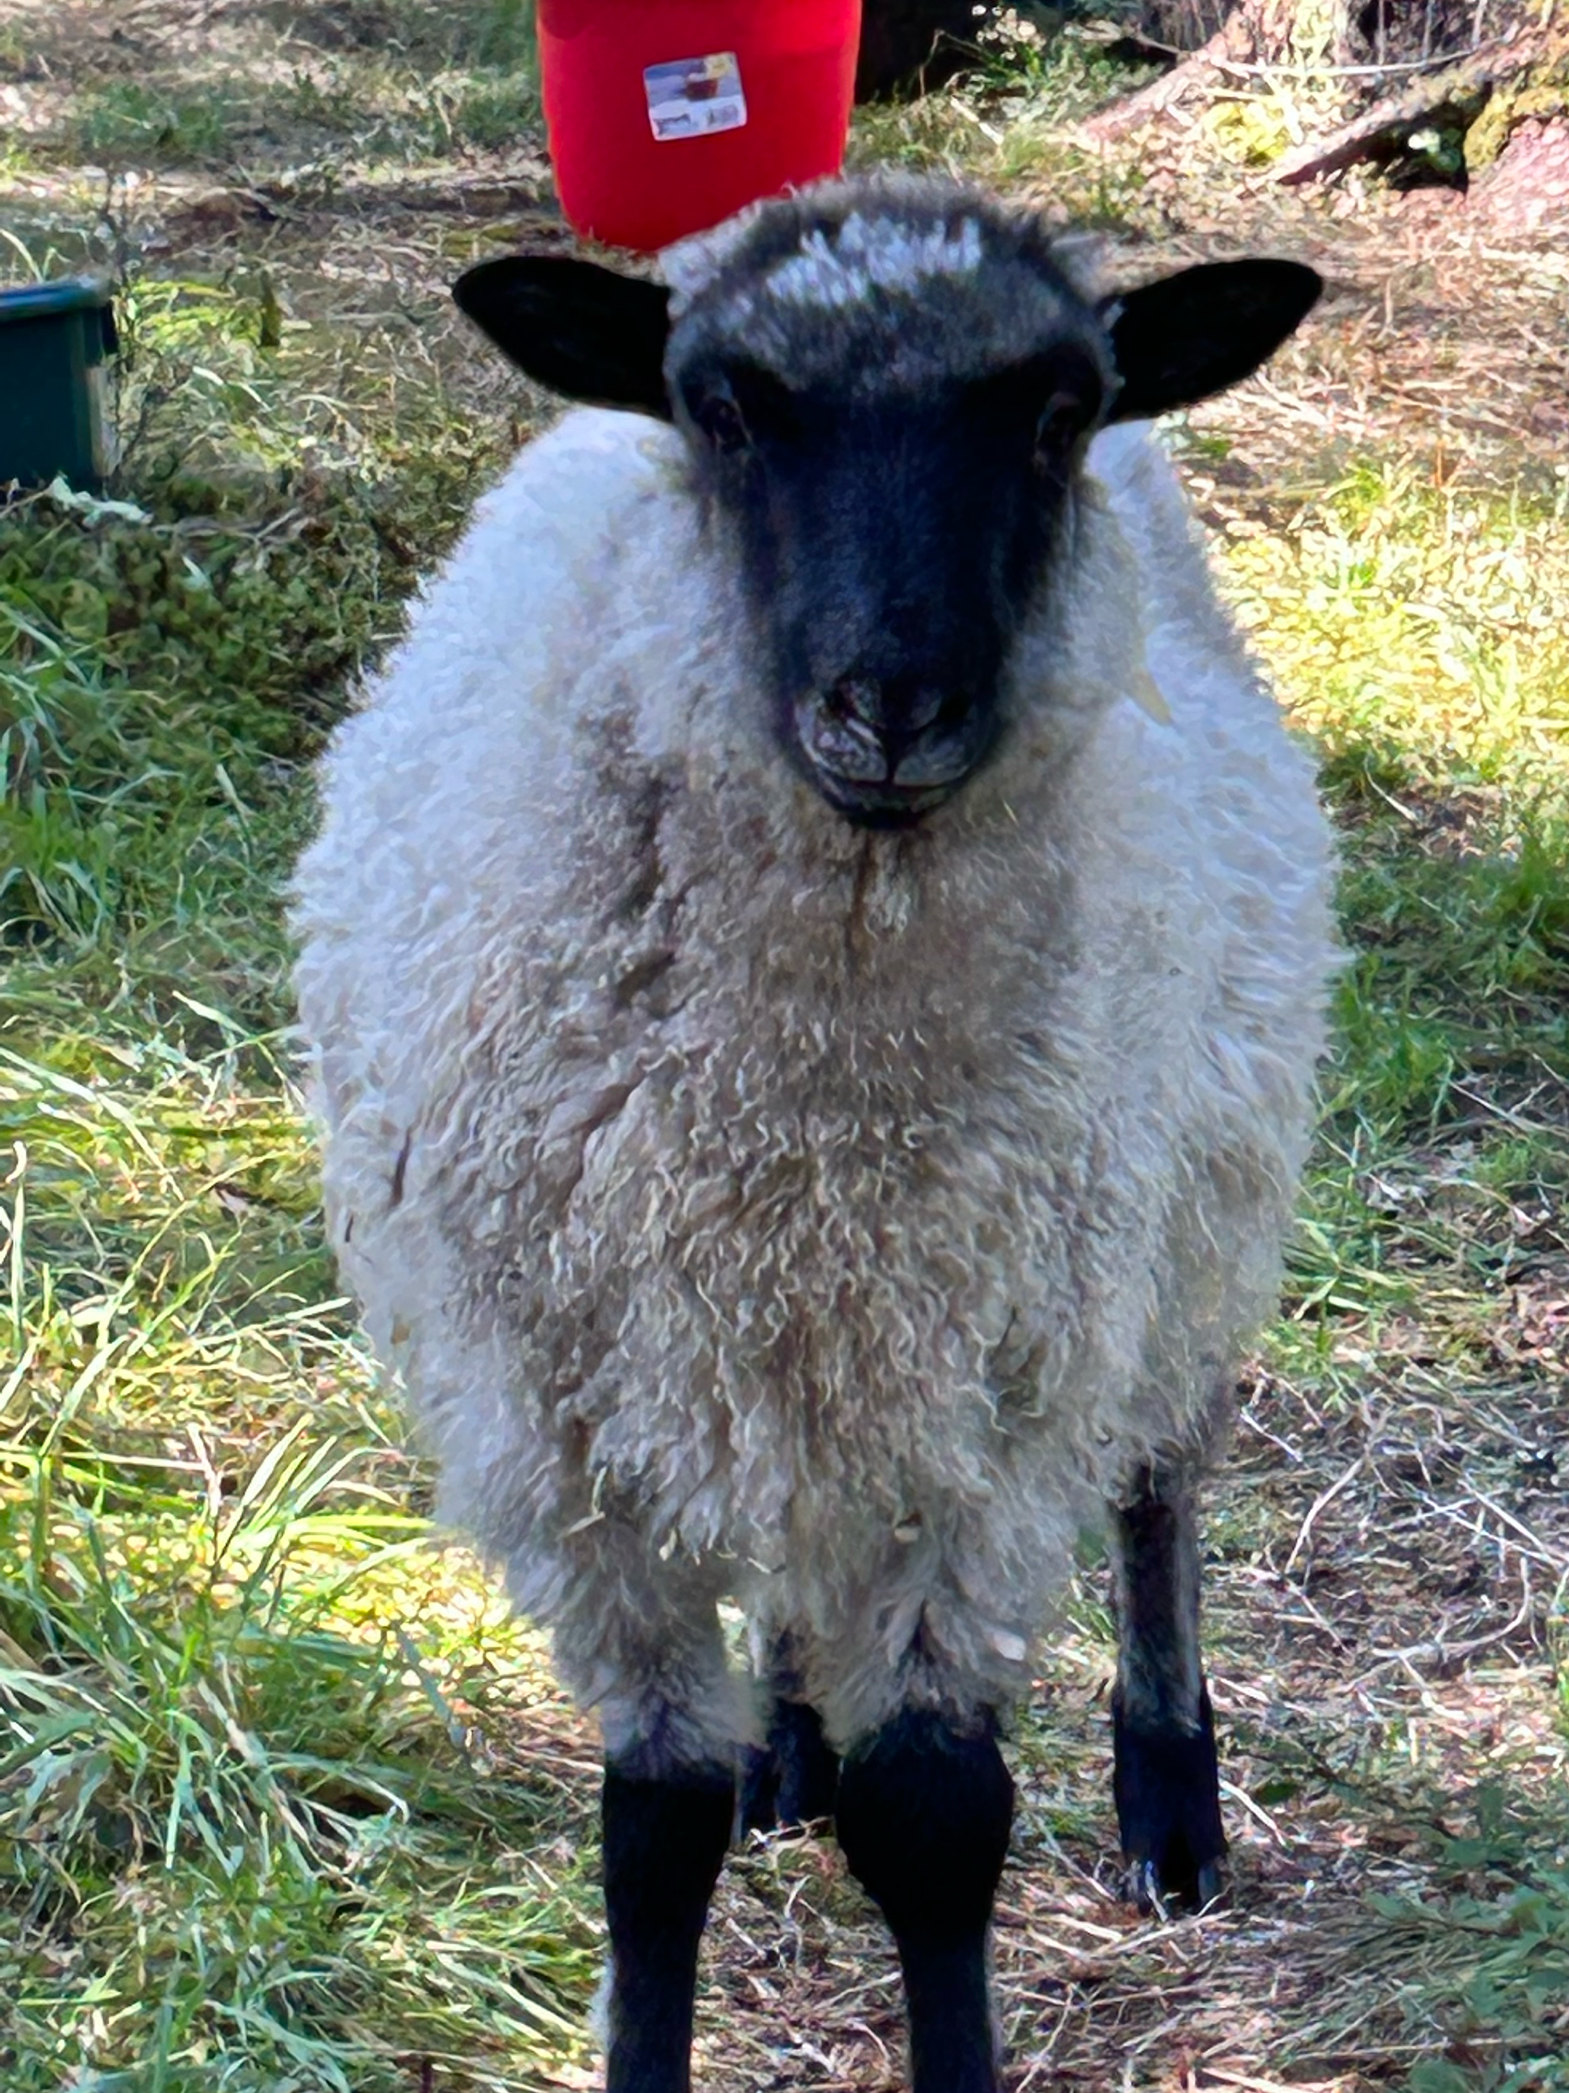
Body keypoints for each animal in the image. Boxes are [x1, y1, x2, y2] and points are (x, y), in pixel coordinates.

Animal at [292, 174, 1338, 2093]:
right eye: (720, 408)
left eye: (1055, 411)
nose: (890, 706)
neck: (803, 1118)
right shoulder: (572, 1435)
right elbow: (653, 1823)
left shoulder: (986, 1409)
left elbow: (931, 1812)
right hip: (765, 1359)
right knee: (790, 1553)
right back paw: (786, 1735)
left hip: (1194, 1201)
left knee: (1161, 1475)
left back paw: (1169, 1792)